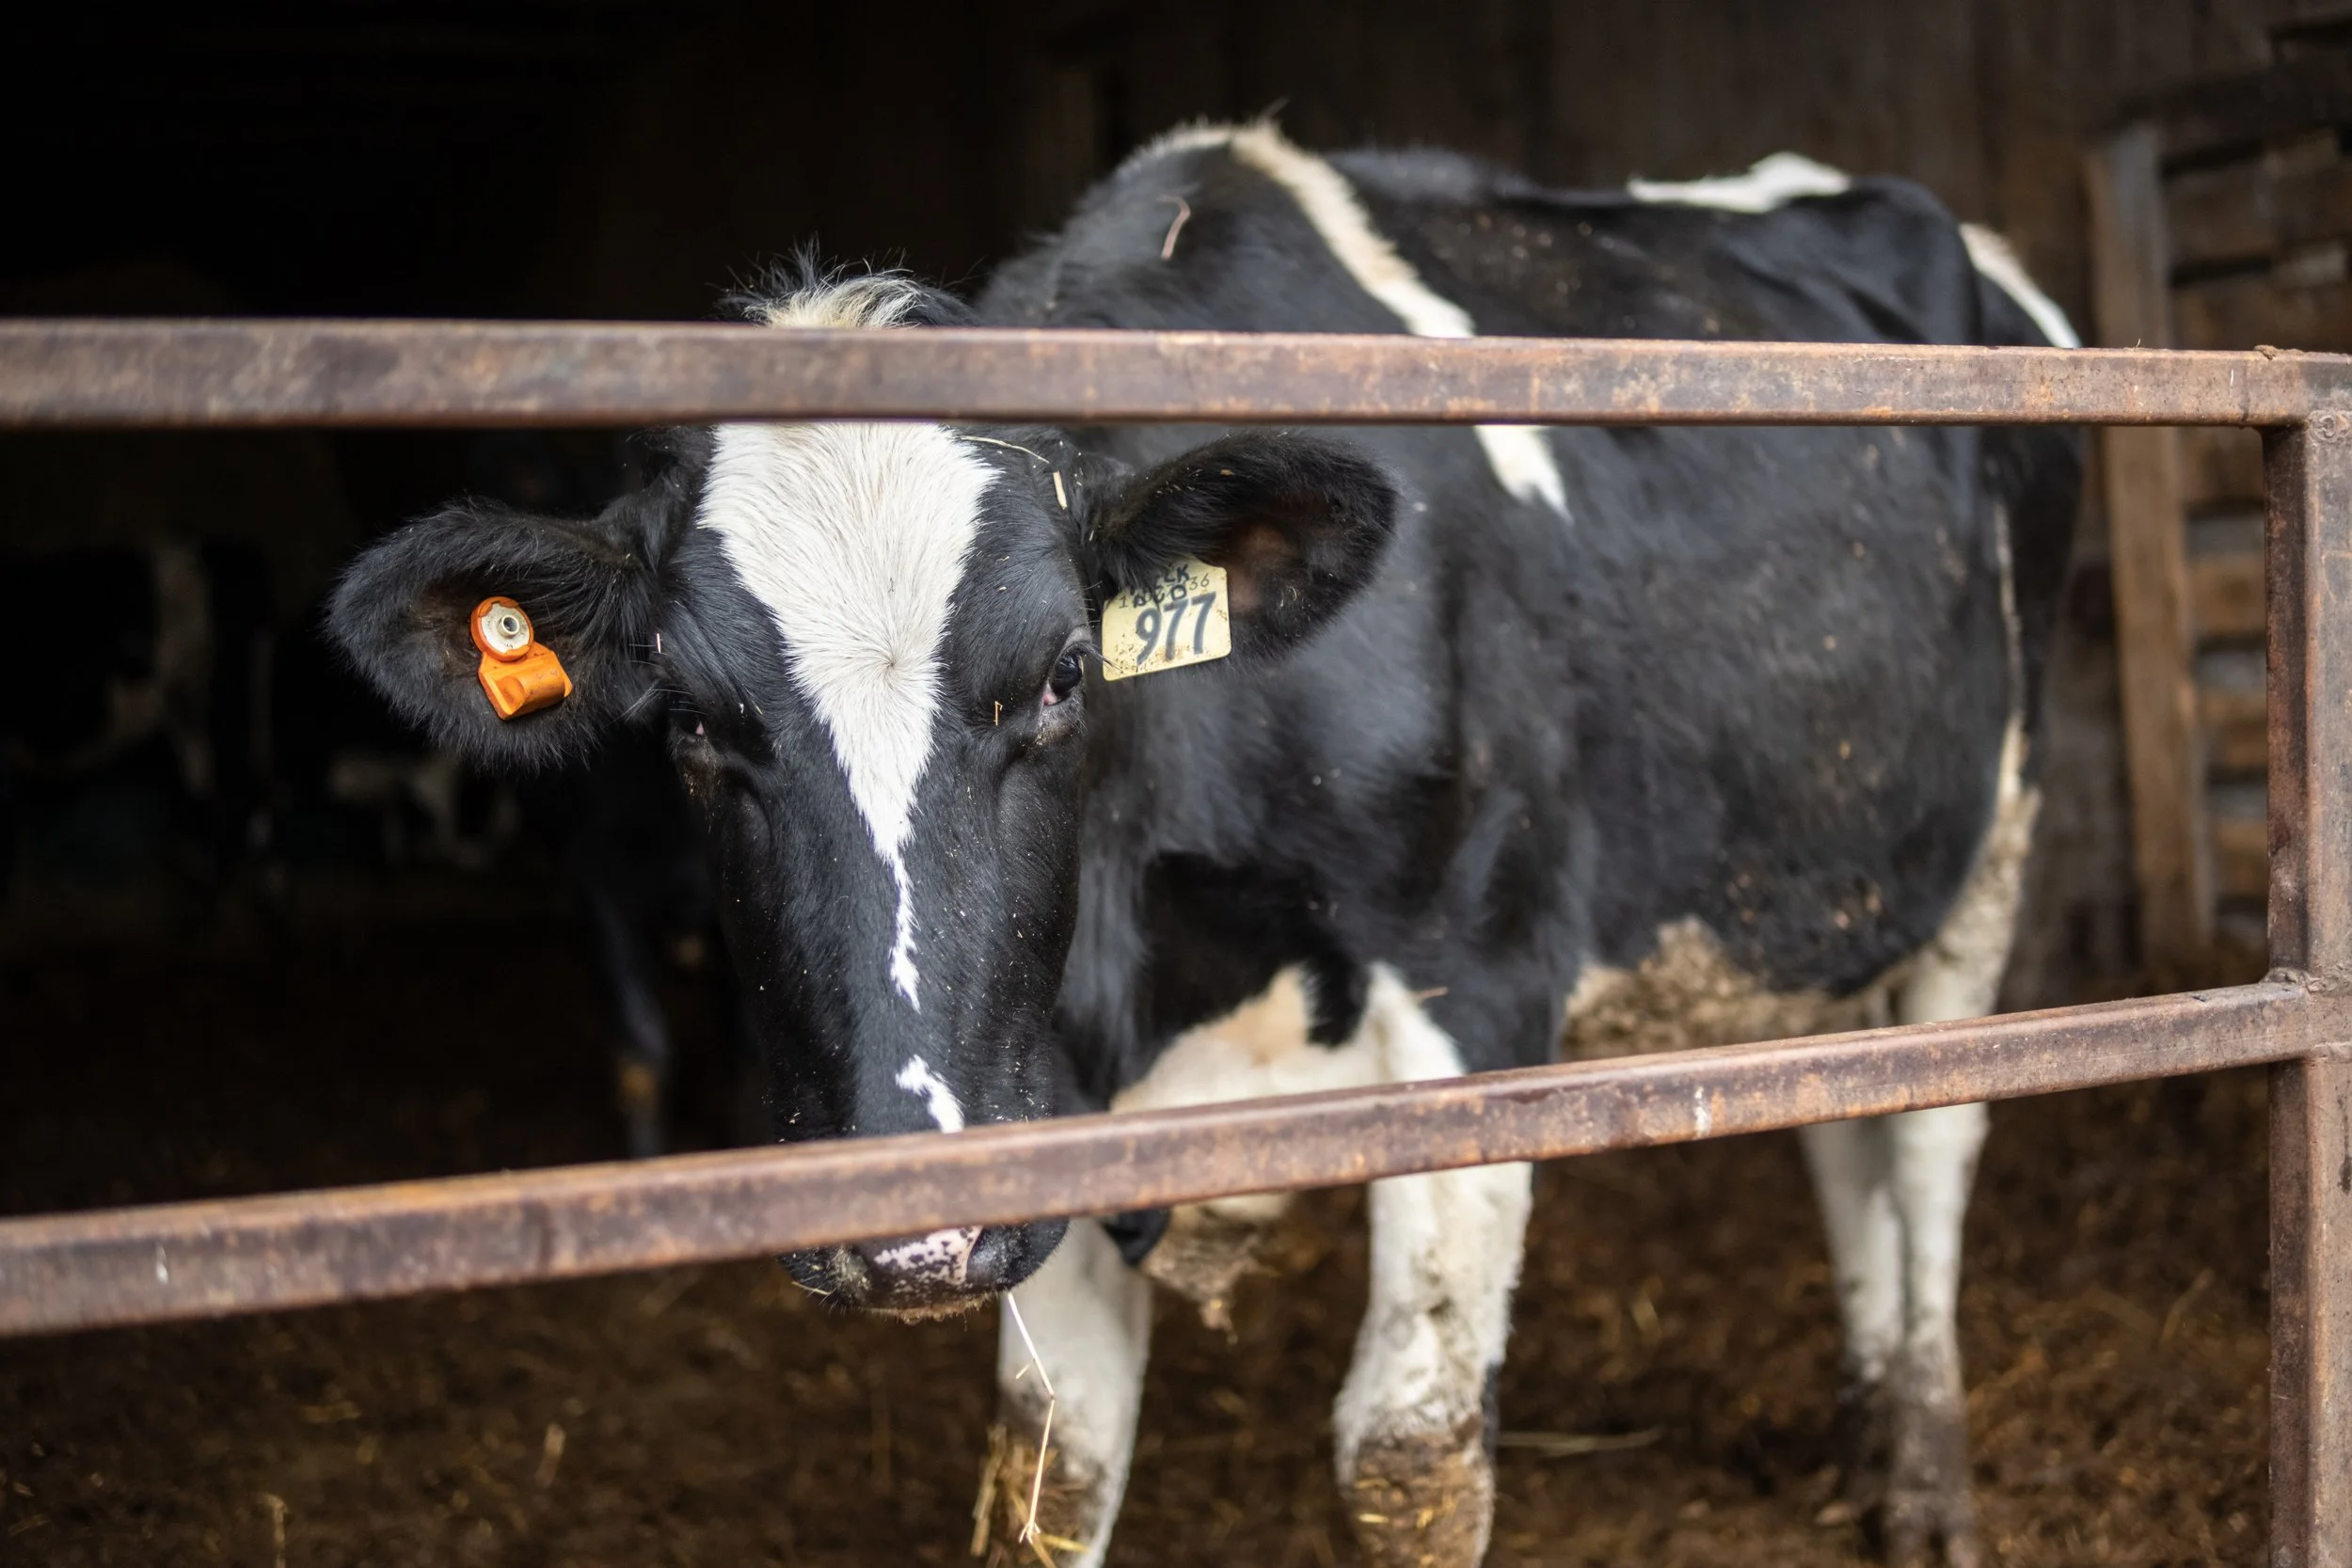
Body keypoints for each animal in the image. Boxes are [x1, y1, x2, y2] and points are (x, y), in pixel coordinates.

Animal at [326, 124, 2082, 1568]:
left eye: (1061, 677)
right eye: (691, 723)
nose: (905, 1224)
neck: (1150, 965)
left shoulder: (1478, 1003)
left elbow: (1409, 1460)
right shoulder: (1035, 1102)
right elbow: (1051, 1483)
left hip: (1998, 850)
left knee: (1934, 1139)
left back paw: (1926, 1487)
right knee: (1844, 1125)